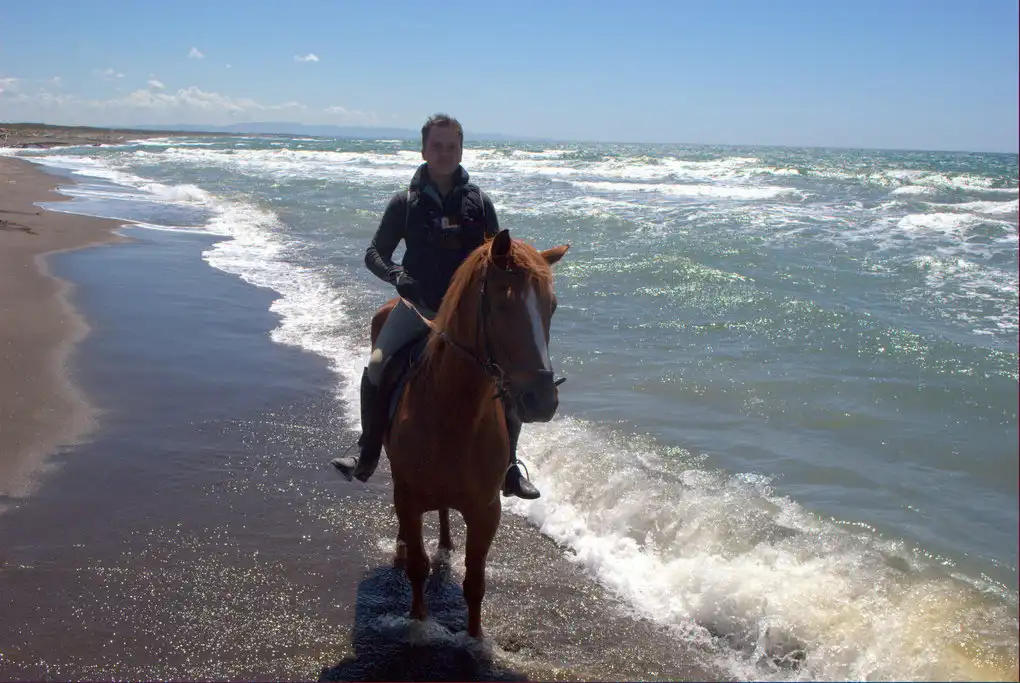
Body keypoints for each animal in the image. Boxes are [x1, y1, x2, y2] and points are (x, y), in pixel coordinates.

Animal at [367, 228, 568, 639]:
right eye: (503, 303)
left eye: (552, 307)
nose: (542, 400)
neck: (452, 411)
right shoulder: (408, 498)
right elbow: (417, 566)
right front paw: (419, 622)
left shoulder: (486, 510)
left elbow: (475, 582)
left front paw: (474, 638)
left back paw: (446, 541)